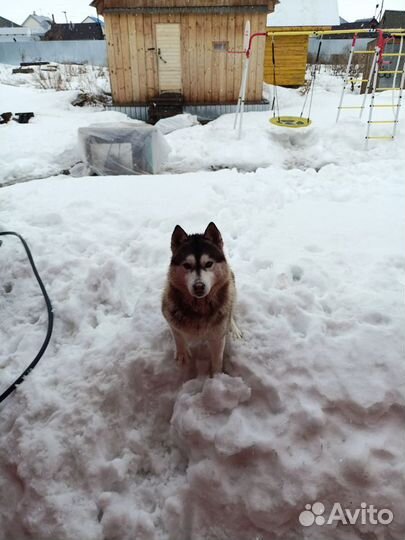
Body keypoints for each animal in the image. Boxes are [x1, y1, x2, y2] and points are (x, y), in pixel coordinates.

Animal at [162, 220, 240, 376]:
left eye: (209, 263)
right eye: (187, 265)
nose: (199, 286)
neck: (199, 307)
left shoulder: (217, 336)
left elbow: (217, 360)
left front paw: (216, 378)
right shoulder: (168, 312)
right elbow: (177, 334)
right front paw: (182, 354)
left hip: (231, 283)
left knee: (231, 308)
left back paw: (233, 329)